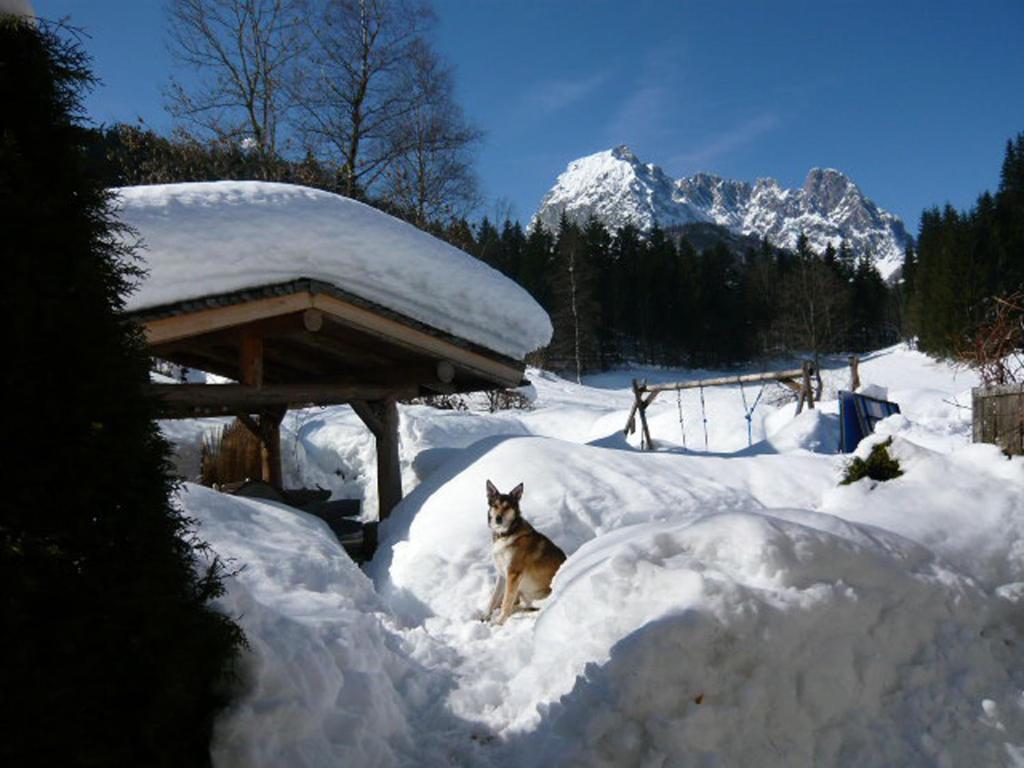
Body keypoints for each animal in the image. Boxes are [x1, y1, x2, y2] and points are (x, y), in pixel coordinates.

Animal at [481, 481, 569, 626]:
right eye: (495, 505)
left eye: (507, 507)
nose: (498, 518)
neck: (506, 534)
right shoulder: (502, 574)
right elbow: (493, 599)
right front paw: (485, 616)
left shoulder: (513, 573)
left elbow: (506, 601)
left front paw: (499, 622)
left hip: (537, 595)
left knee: (525, 605)